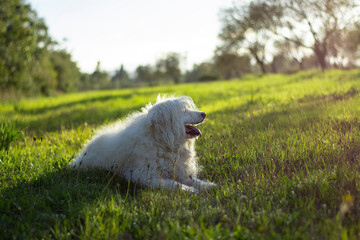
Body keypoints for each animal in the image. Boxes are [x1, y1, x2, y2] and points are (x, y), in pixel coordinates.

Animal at [71, 94, 215, 192]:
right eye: (184, 111)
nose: (204, 114)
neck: (160, 141)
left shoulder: (178, 171)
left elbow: (192, 180)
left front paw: (207, 185)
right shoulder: (144, 175)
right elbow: (173, 184)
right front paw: (189, 190)